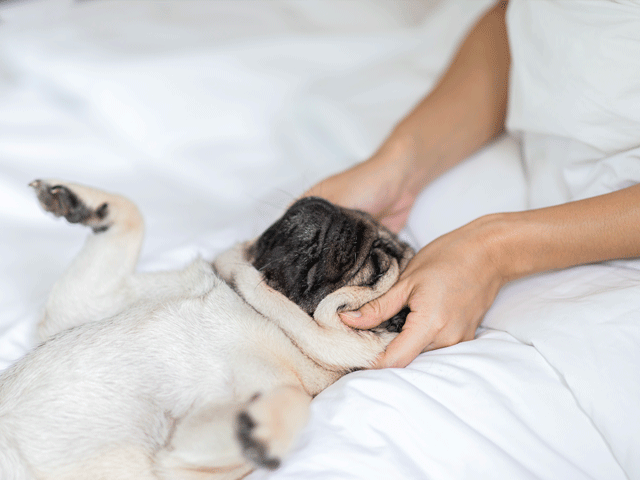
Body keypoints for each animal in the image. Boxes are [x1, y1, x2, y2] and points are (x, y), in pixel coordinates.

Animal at [0, 180, 410, 480]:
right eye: (355, 211)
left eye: (377, 264)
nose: (339, 213)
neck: (263, 311)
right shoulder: (85, 302)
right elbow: (133, 216)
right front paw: (82, 201)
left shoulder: (181, 465)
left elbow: (295, 400)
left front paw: (264, 429)